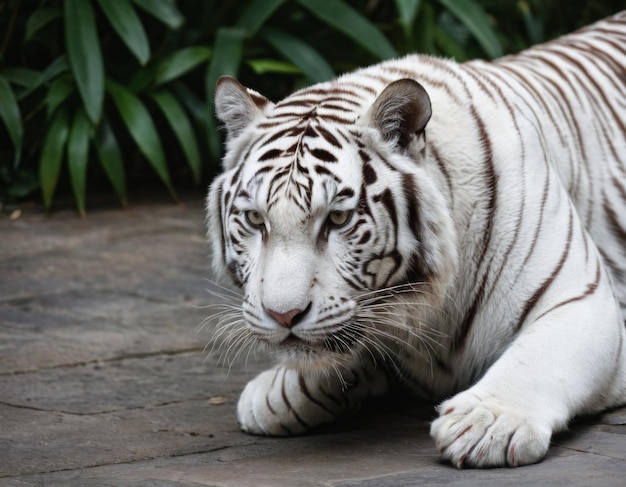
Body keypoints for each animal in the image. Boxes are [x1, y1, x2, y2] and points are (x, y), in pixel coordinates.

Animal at [206, 12, 624, 468]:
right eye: (255, 219)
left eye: (337, 218)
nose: (284, 316)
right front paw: (274, 392)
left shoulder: (581, 297)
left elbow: (537, 358)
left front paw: (486, 422)